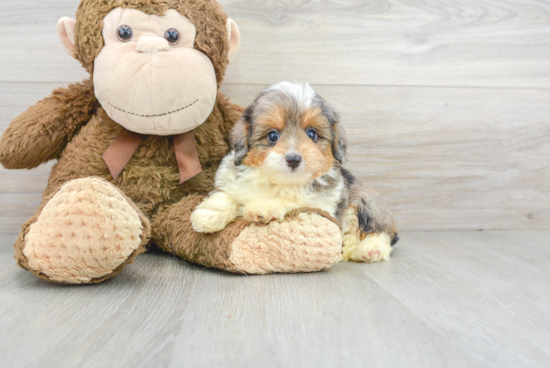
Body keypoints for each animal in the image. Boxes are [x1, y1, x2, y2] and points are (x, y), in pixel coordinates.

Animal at [192, 82, 398, 264]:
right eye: (272, 136)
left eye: (312, 134)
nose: (293, 159)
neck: (279, 181)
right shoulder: (230, 177)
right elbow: (226, 194)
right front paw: (207, 215)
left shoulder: (322, 203)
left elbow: (294, 200)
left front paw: (264, 207)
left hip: (365, 202)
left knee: (380, 232)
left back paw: (370, 249)